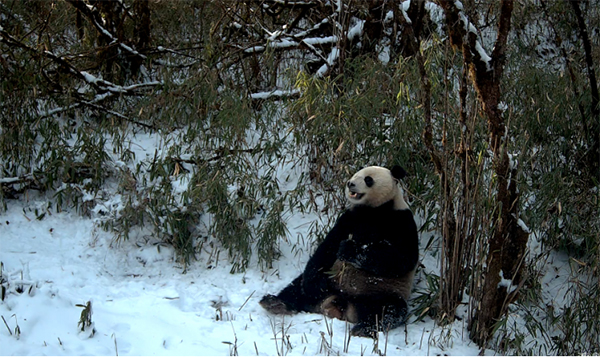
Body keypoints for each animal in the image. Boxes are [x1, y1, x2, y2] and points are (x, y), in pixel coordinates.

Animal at [260, 164, 420, 336]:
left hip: (381, 292)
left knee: (388, 310)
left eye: (368, 179)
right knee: (299, 287)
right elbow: (327, 248)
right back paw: (275, 303)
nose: (350, 183)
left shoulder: (401, 221)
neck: (375, 209)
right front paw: (316, 284)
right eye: (355, 174)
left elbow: (401, 259)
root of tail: (342, 302)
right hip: (331, 280)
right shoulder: (350, 218)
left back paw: (363, 328)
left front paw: (350, 250)